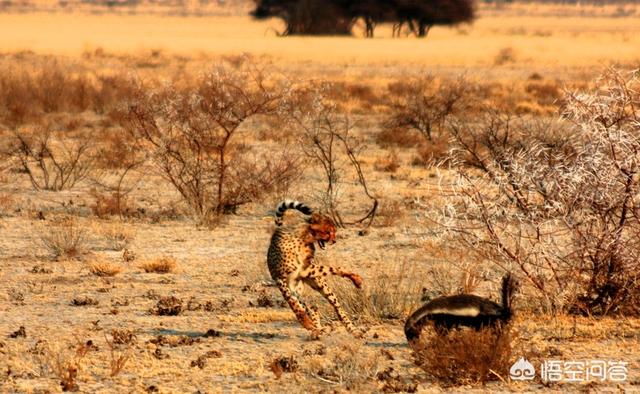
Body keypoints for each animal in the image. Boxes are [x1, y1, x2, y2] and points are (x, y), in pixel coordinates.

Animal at [266, 200, 364, 338]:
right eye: (329, 232)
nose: (334, 240)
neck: (303, 237)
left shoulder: (306, 269)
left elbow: (335, 268)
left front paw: (355, 278)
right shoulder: (281, 278)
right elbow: (293, 304)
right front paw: (306, 322)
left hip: (318, 284)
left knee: (335, 306)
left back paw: (351, 329)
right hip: (297, 289)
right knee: (309, 307)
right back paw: (317, 328)